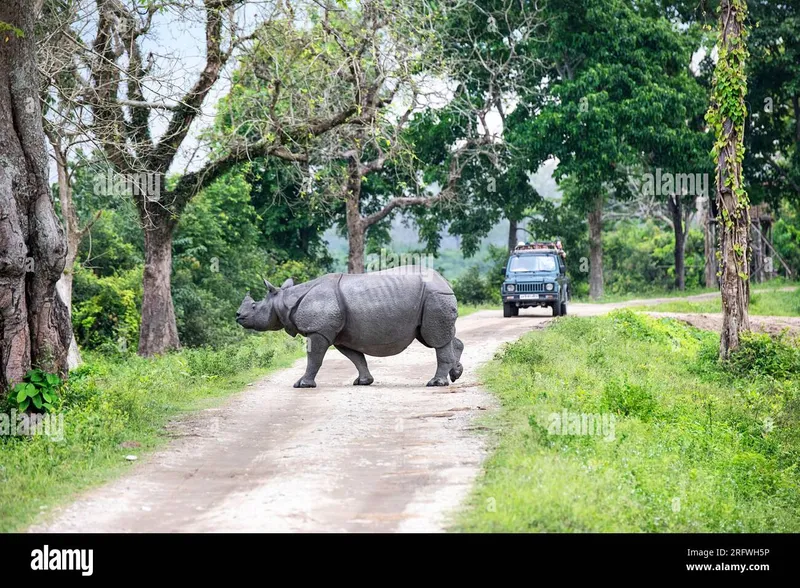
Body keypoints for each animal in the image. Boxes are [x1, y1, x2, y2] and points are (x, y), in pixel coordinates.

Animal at [234, 268, 462, 388]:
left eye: (254, 307)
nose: (237, 316)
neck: (284, 301)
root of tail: (445, 282)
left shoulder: (318, 331)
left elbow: (314, 358)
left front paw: (303, 384)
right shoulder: (341, 336)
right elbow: (356, 357)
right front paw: (363, 381)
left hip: (434, 297)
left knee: (435, 340)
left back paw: (436, 383)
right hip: (433, 299)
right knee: (441, 336)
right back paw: (455, 374)